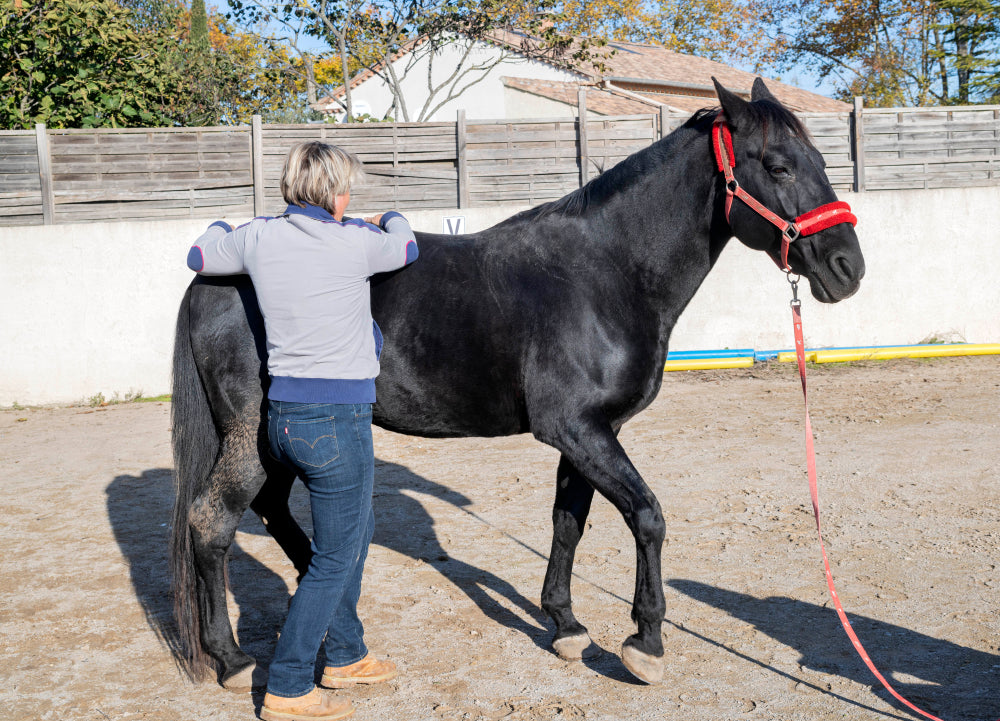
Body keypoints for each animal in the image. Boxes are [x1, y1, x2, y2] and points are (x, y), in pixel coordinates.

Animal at [169, 78, 865, 690]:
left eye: (819, 159)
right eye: (777, 166)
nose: (847, 268)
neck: (604, 273)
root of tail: (216, 270)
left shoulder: (591, 433)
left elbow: (568, 522)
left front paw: (565, 624)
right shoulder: (577, 430)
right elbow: (647, 516)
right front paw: (645, 642)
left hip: (275, 440)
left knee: (271, 511)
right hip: (253, 436)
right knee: (211, 522)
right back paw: (231, 660)